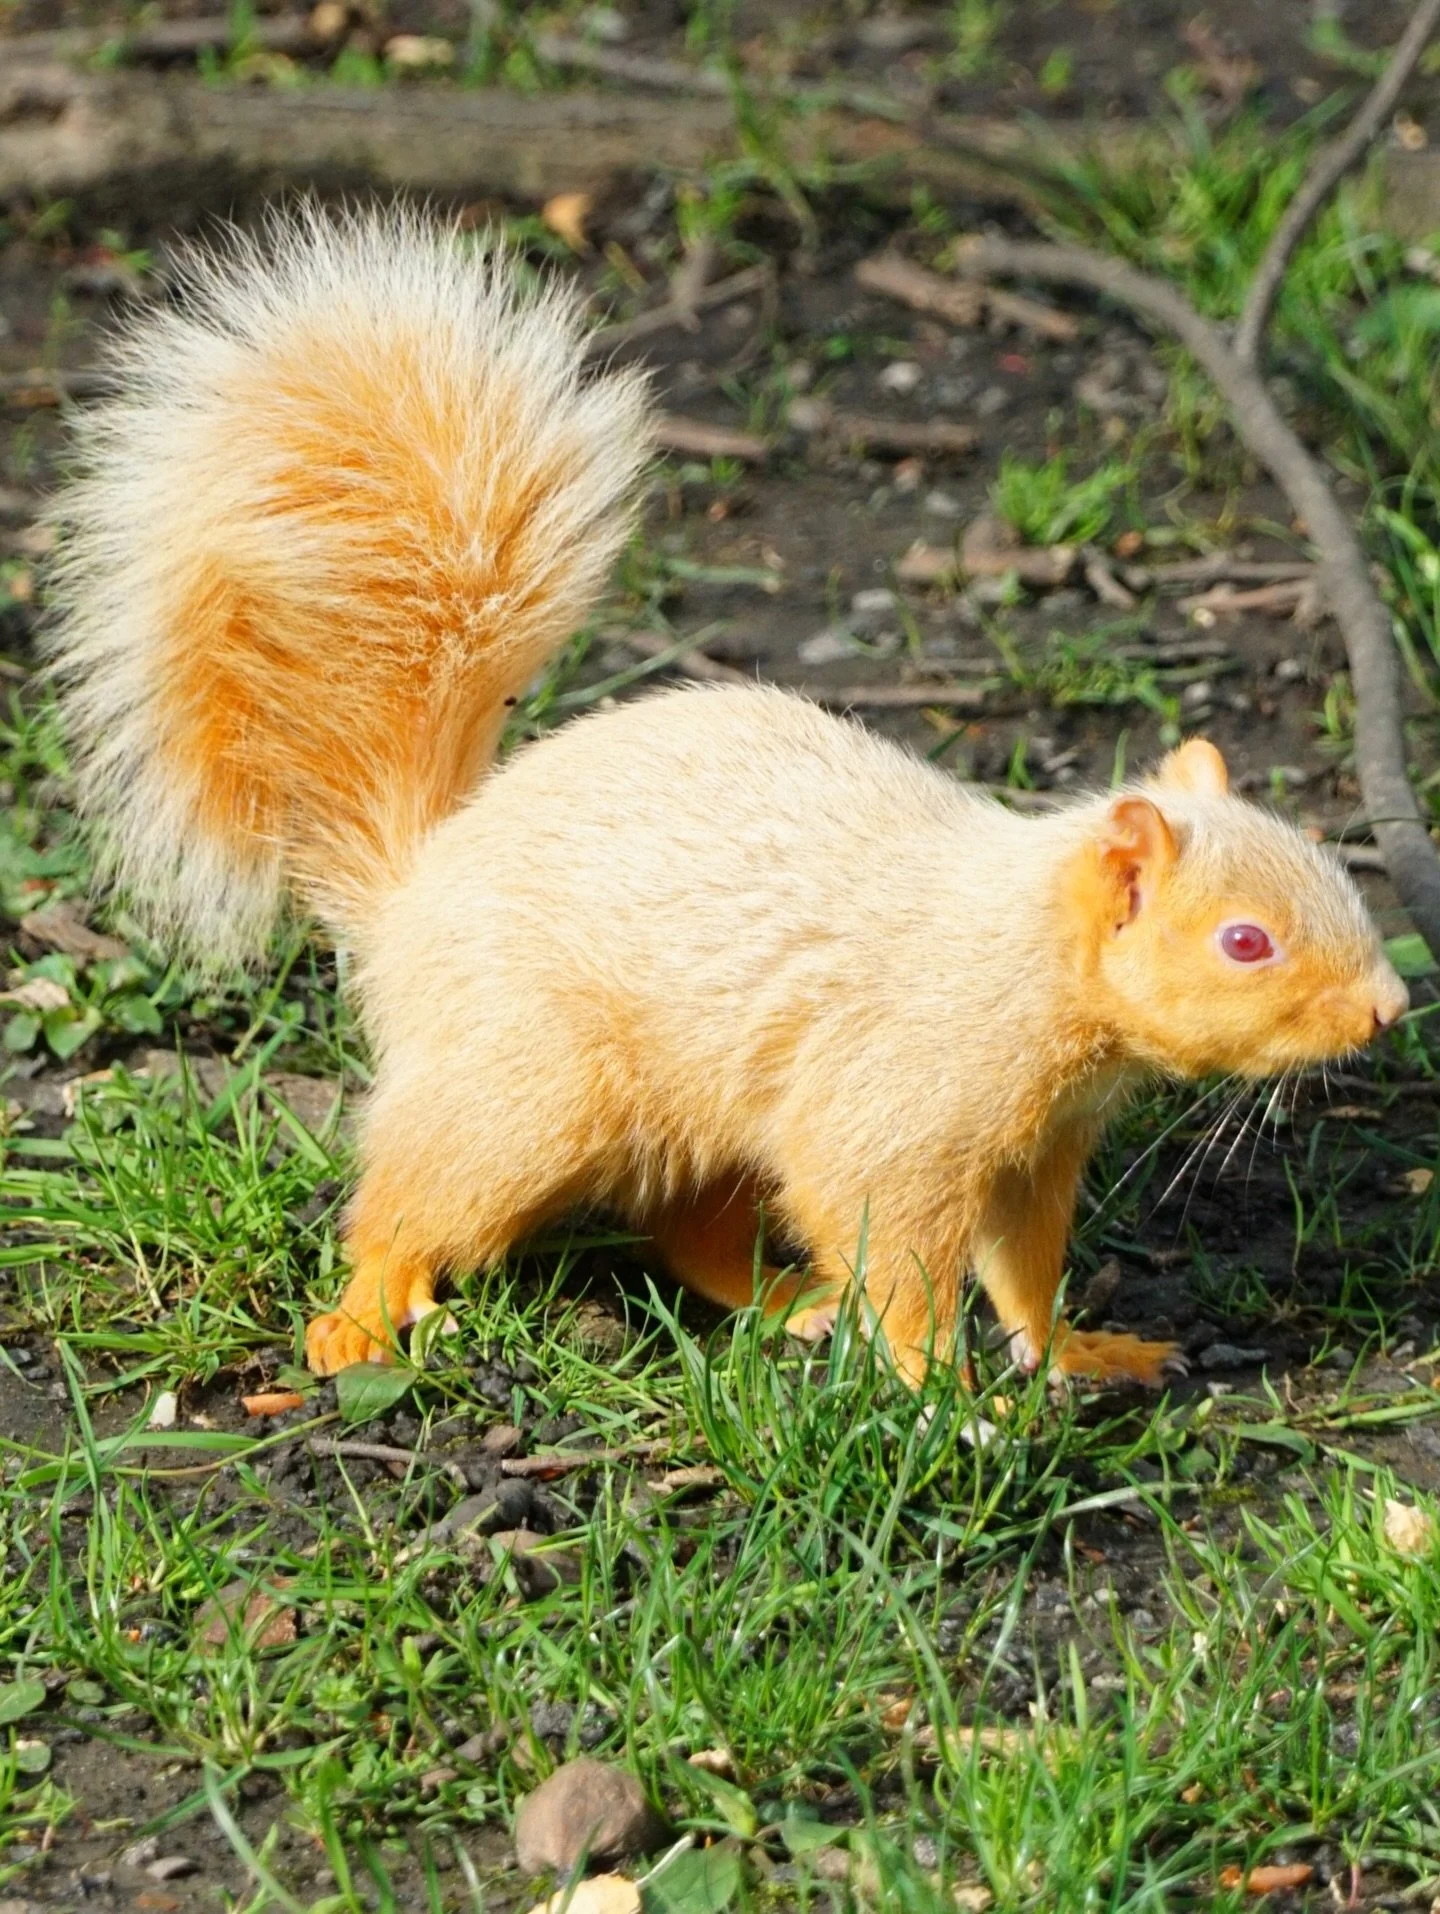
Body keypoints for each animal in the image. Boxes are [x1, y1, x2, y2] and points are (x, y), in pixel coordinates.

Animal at [45, 206, 1409, 1389]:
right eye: (1245, 941)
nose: (1389, 1008)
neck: (1021, 956)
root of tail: (416, 893)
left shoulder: (1038, 1149)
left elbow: (1024, 1263)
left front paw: (1076, 1348)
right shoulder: (893, 1105)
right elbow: (892, 1240)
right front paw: (937, 1387)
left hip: (698, 1123)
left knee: (689, 1233)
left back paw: (787, 1302)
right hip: (528, 1088)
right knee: (417, 1194)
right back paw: (368, 1311)